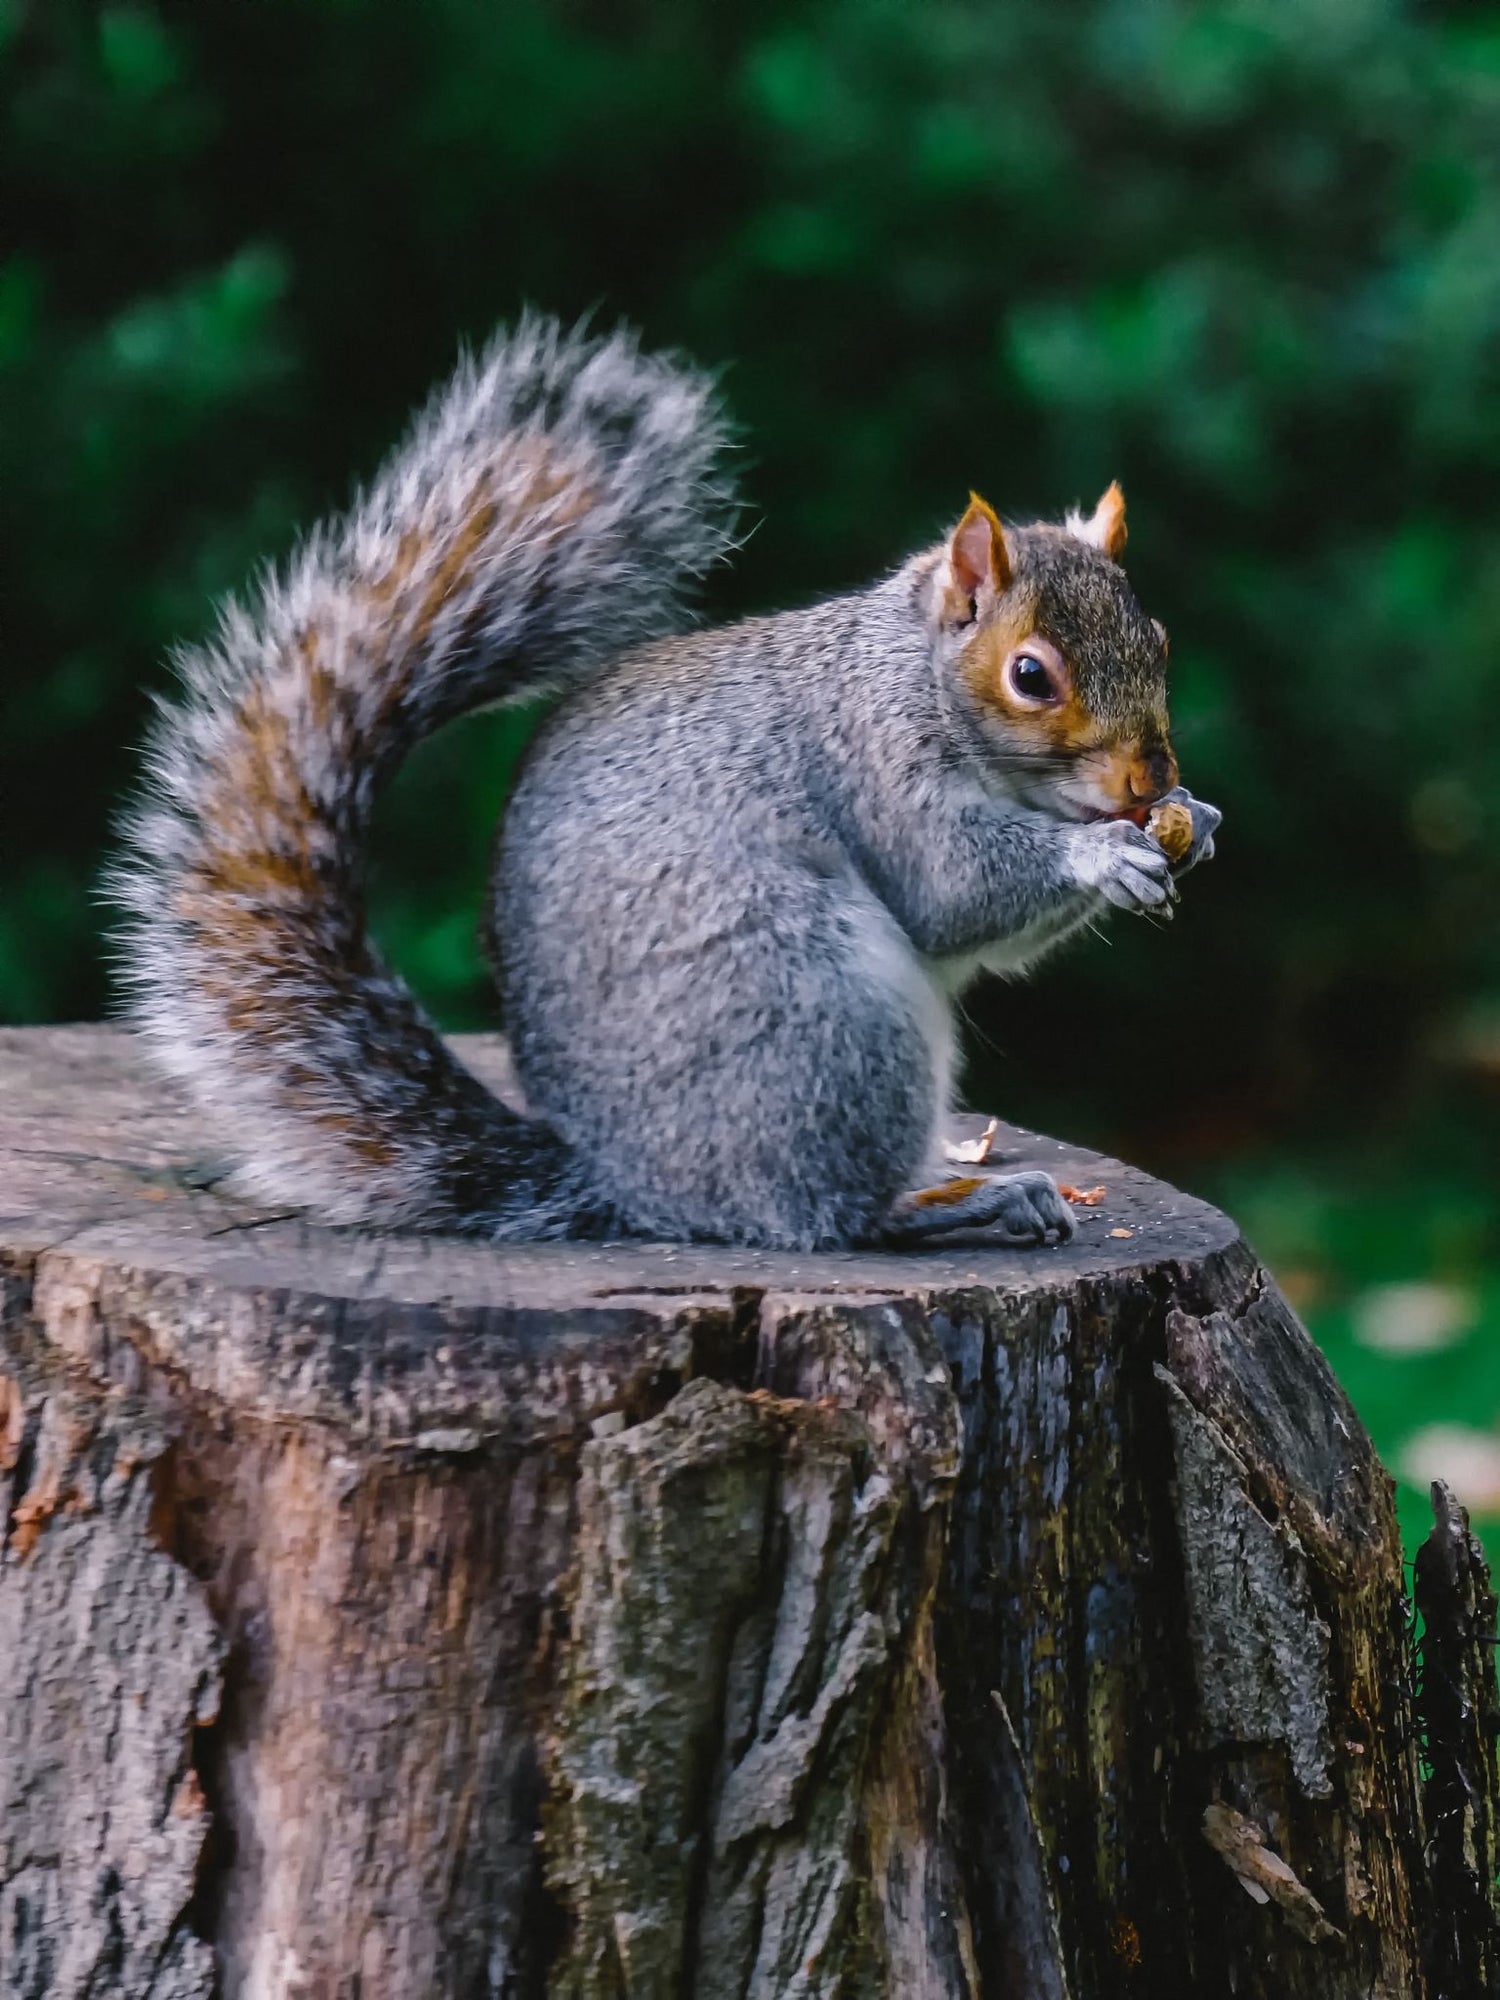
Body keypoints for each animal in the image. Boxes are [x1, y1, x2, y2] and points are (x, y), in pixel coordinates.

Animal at [114, 312, 1224, 1248]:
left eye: (1161, 639)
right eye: (1031, 676)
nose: (1149, 776)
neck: (911, 674)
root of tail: (631, 1187)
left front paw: (1194, 821)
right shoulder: (874, 765)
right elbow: (952, 892)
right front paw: (1103, 853)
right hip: (821, 1017)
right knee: (825, 1216)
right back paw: (959, 1203)